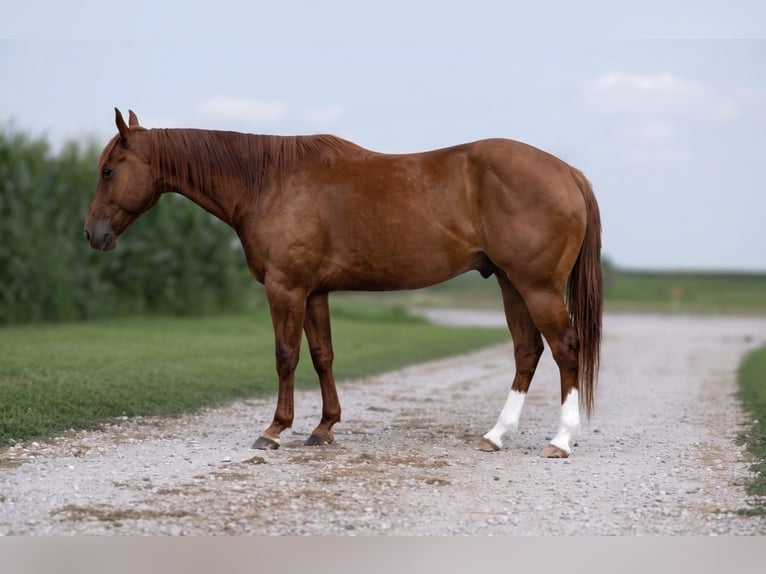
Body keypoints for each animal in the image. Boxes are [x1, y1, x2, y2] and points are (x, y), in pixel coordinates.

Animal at [85, 108, 602, 458]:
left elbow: (286, 356)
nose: (93, 234)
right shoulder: (314, 292)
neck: (268, 181)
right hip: (512, 284)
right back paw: (495, 436)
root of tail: (567, 171)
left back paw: (561, 440)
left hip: (536, 287)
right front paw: (324, 428)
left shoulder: (286, 287)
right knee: (527, 351)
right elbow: (322, 356)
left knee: (565, 348)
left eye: (108, 170)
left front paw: (275, 430)